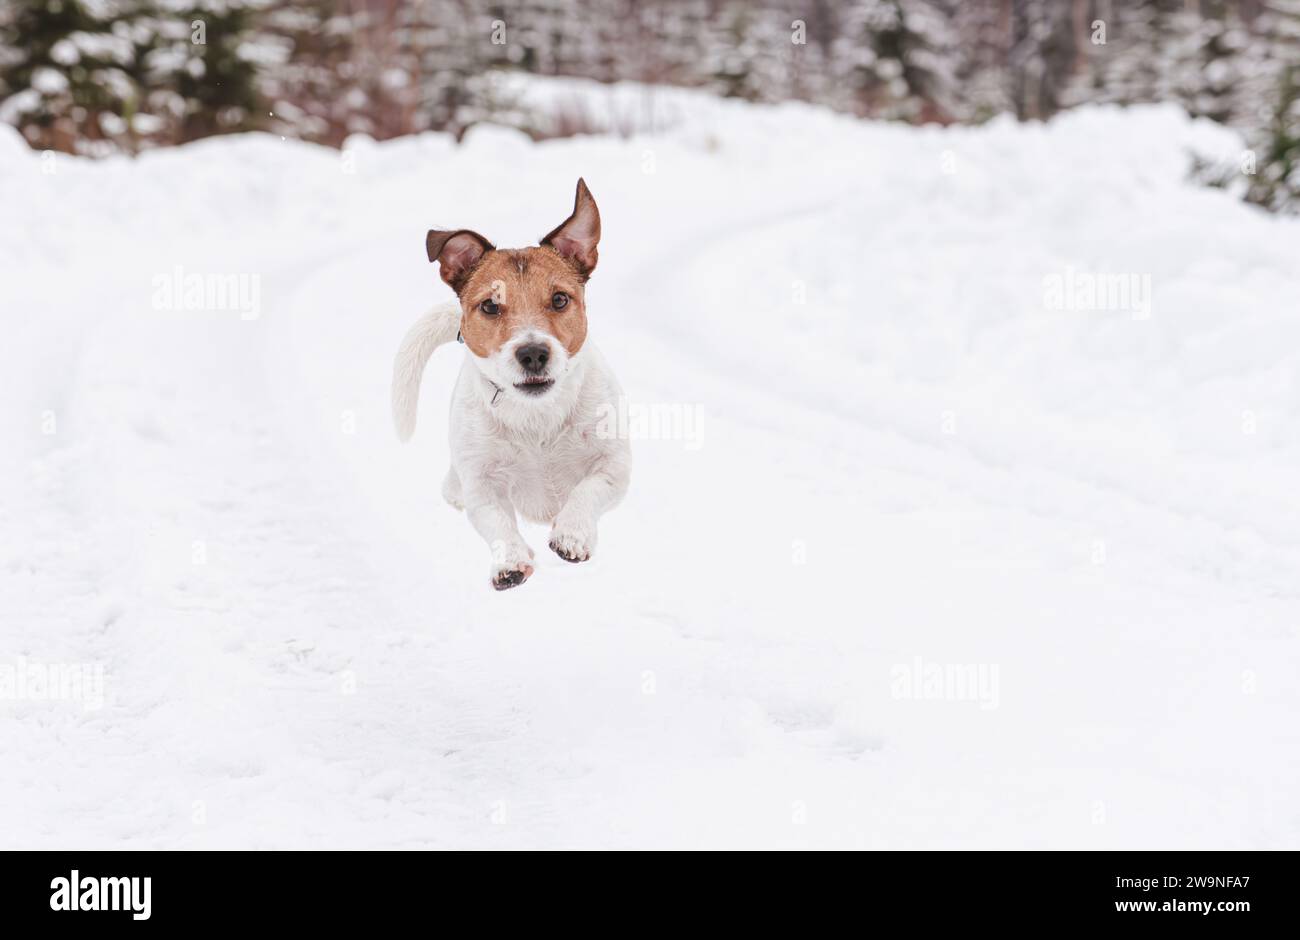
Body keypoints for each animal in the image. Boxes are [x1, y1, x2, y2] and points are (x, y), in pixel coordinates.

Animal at [390, 180, 629, 592]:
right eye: (489, 306)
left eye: (560, 299)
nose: (532, 353)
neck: (537, 416)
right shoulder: (481, 485)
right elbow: (497, 521)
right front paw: (510, 561)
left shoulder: (615, 465)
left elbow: (588, 489)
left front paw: (571, 534)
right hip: (456, 482)